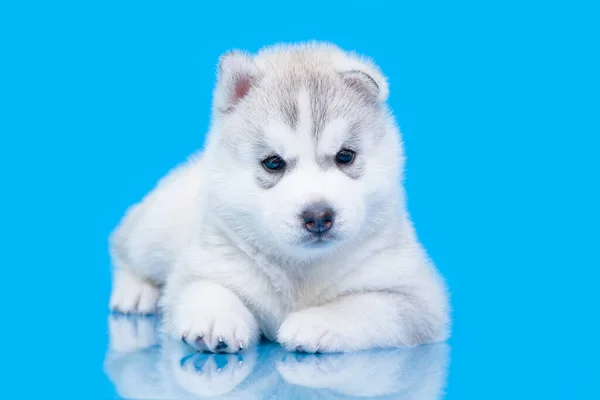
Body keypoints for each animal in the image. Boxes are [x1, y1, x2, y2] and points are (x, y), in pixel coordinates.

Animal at [109, 41, 450, 354]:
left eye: (345, 156)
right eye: (273, 163)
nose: (318, 216)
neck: (301, 269)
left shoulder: (417, 296)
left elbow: (366, 305)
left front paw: (317, 322)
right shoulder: (203, 263)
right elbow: (205, 288)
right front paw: (217, 319)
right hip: (155, 228)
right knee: (124, 247)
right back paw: (134, 292)